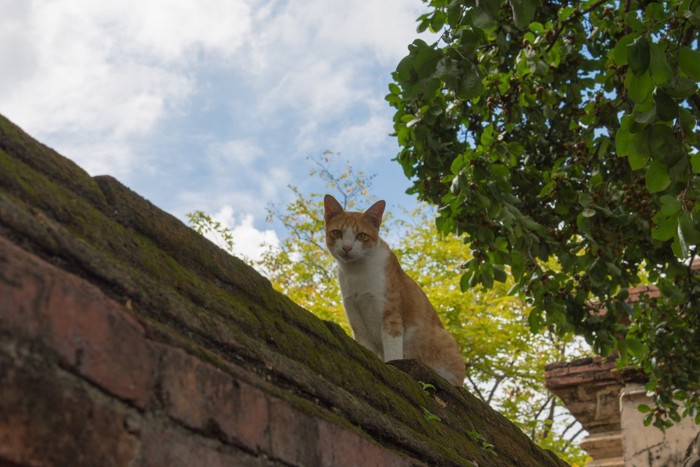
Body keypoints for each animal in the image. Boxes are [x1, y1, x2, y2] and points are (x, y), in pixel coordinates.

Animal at [322, 195, 464, 388]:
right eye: (337, 233)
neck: (357, 274)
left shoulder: (391, 317)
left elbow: (392, 351)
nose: (347, 247)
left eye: (361, 236)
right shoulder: (357, 321)